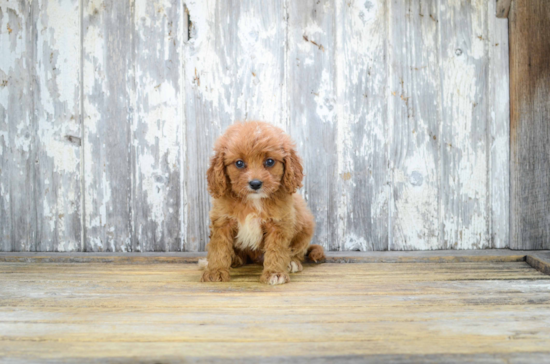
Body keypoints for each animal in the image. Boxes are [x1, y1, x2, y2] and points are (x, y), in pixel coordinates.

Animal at [201, 120, 326, 284]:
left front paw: (275, 273)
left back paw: (292, 262)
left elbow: (276, 250)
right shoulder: (222, 221)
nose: (255, 183)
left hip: (305, 226)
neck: (254, 201)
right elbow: (219, 247)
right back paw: (230, 259)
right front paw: (215, 271)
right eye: (239, 163)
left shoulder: (279, 224)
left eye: (270, 161)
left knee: (298, 251)